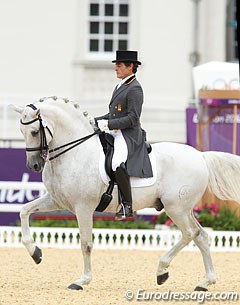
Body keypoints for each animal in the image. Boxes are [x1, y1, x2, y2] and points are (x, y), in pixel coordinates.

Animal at [12, 97, 240, 290]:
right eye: (21, 132)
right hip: (184, 209)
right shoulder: (57, 201)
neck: (75, 152)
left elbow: (86, 244)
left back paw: (162, 271)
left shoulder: (83, 207)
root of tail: (201, 156)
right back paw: (205, 282)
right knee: (201, 236)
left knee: (189, 234)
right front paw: (35, 253)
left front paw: (82, 280)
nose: (33, 165)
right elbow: (24, 211)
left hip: (176, 208)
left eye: (34, 132)